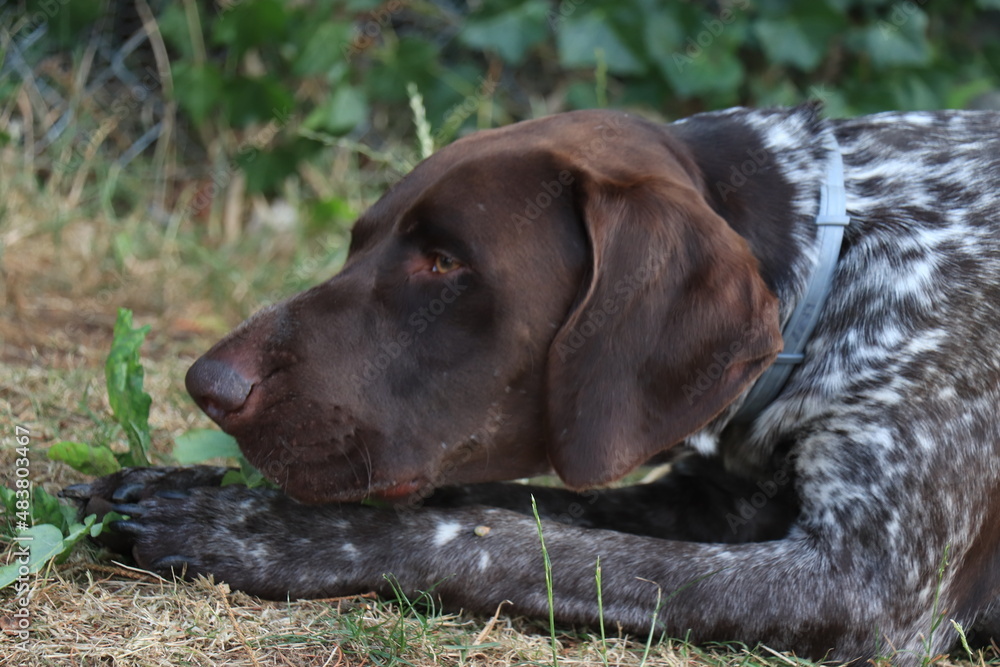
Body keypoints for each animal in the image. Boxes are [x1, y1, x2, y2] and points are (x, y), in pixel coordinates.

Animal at [66, 104, 1000, 664]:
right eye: (360, 239)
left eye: (446, 262)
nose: (208, 384)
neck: (841, 255)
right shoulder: (710, 498)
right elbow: (502, 503)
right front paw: (185, 485)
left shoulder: (866, 588)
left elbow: (491, 537)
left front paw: (251, 528)